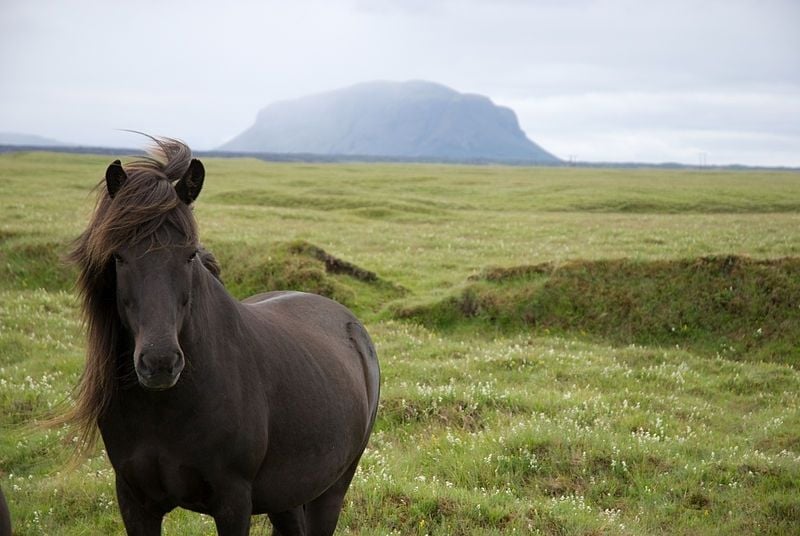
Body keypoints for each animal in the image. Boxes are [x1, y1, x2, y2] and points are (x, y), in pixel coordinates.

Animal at [67, 139, 380, 536]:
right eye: (119, 257)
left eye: (189, 255)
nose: (160, 363)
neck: (165, 409)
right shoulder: (134, 501)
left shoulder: (233, 502)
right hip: (287, 495)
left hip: (332, 488)